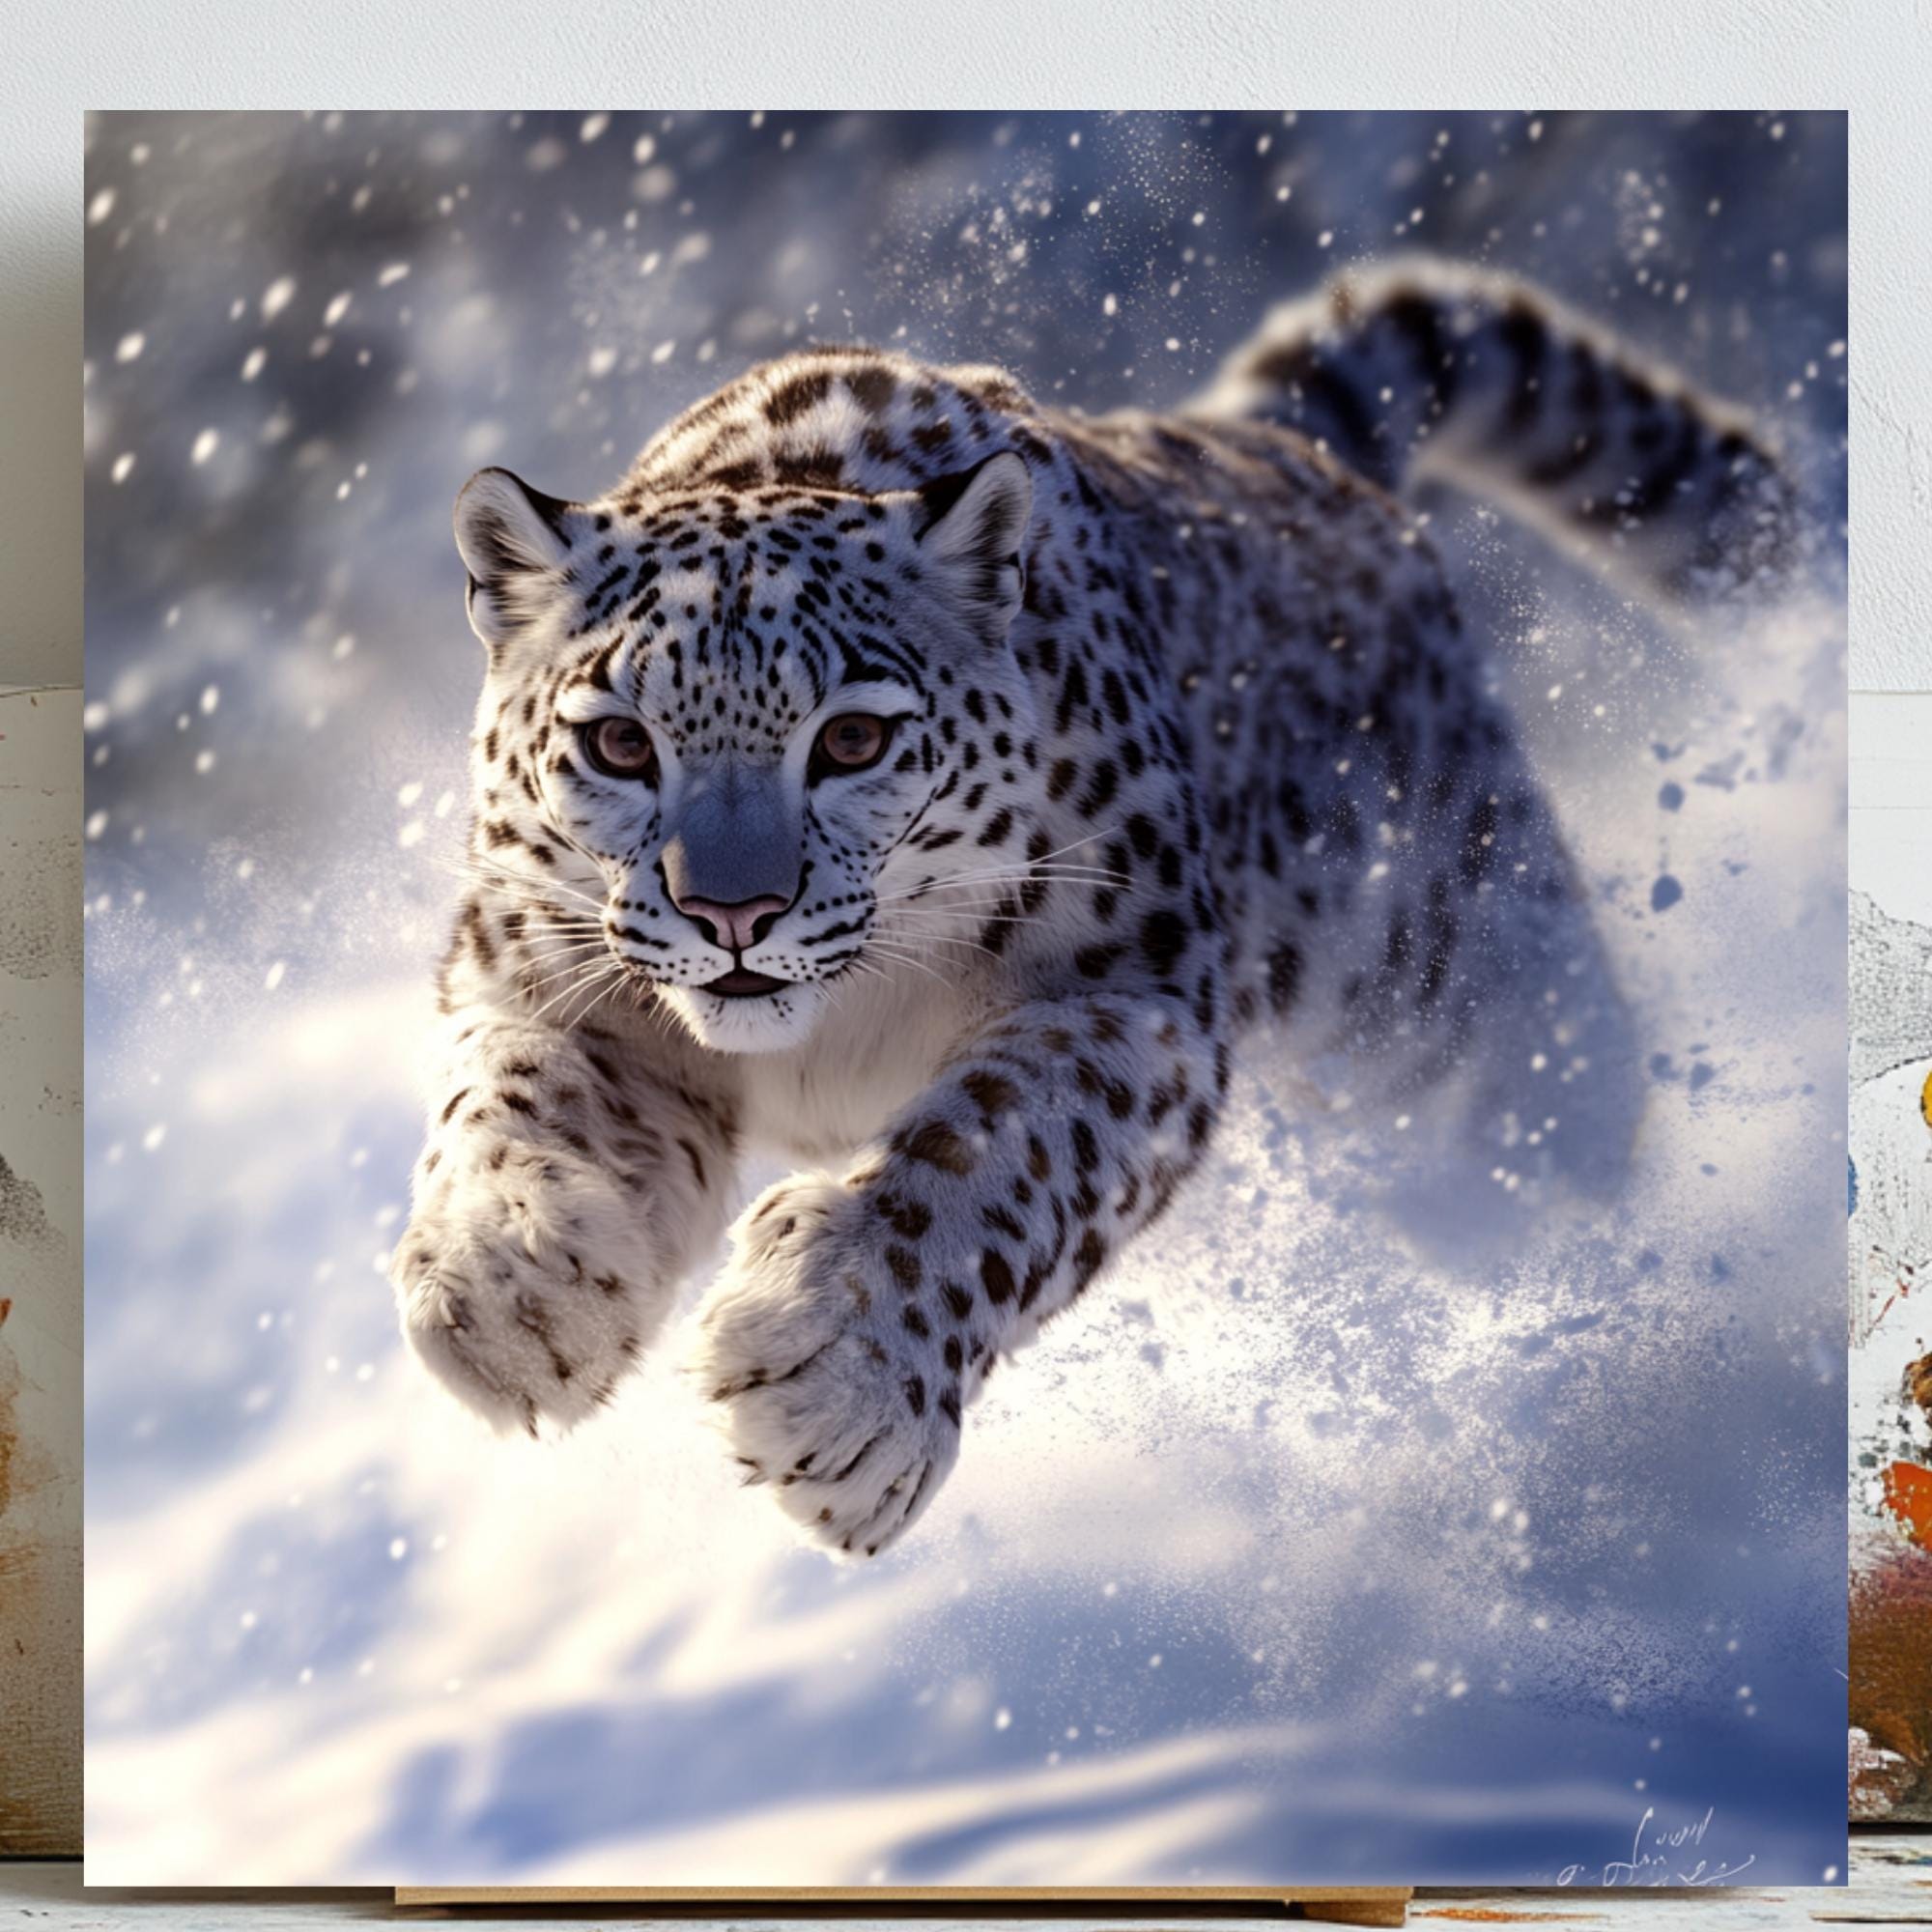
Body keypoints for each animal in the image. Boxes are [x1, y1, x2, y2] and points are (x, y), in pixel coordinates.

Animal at [389, 256, 1804, 1557]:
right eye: (621, 743)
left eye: (849, 738)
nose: (734, 913)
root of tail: (1282, 442)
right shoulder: (529, 954)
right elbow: (505, 1087)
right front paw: (513, 1282)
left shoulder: (1136, 993)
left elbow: (996, 1154)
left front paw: (834, 1379)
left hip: (1451, 993)